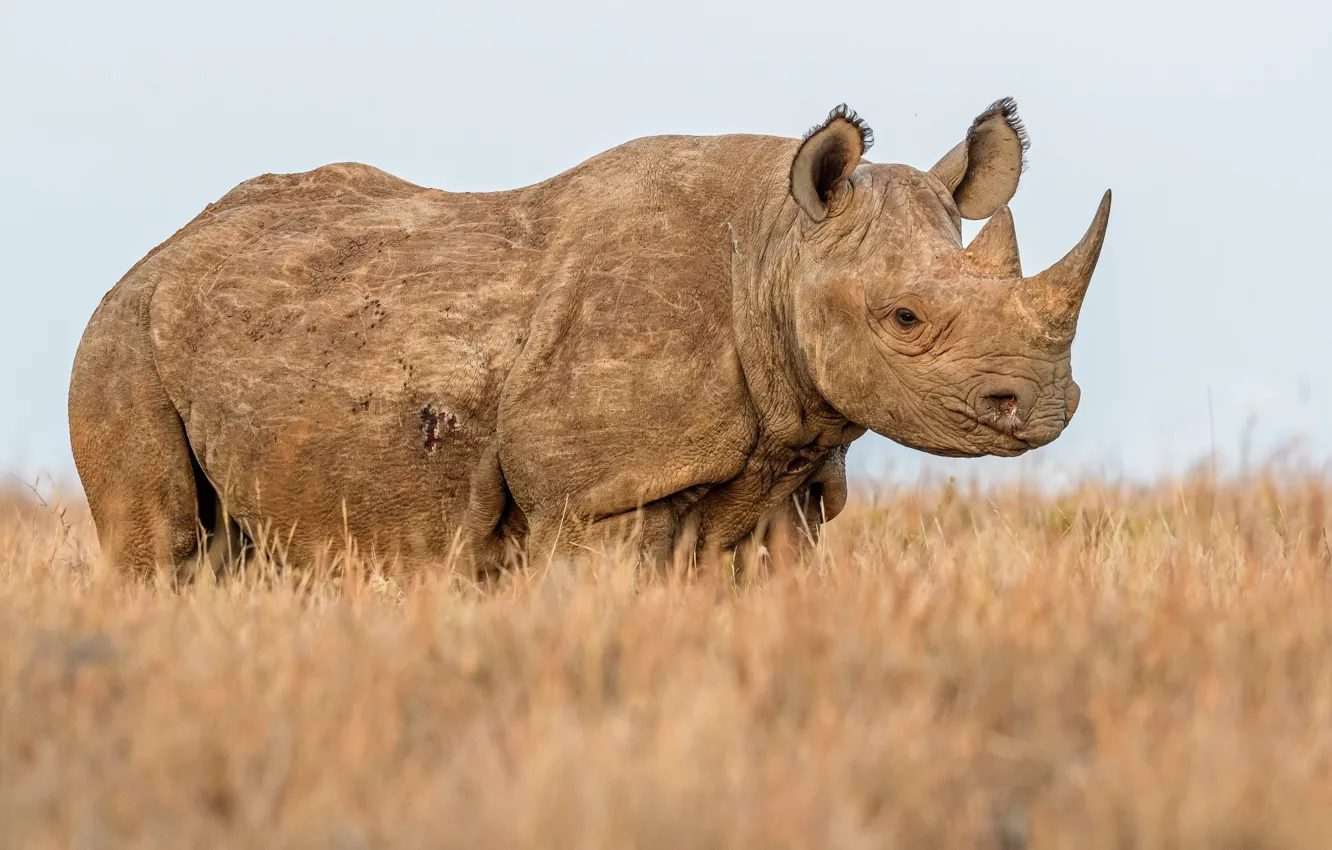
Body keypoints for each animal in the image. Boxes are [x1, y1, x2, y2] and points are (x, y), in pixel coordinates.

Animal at [68, 98, 1110, 577]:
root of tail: (156, 254)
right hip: (120, 337)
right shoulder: (601, 493)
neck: (779, 250)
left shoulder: (791, 476)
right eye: (904, 319)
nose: (1046, 407)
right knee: (162, 547)